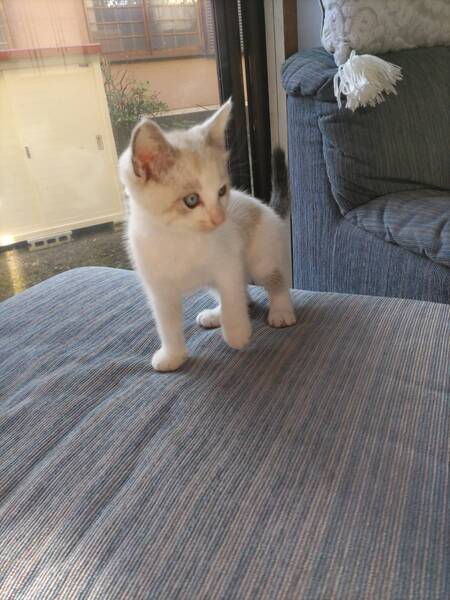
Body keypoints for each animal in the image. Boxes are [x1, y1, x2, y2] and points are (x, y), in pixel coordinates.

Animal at [119, 99, 296, 372]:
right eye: (191, 200)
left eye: (222, 191)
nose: (219, 218)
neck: (178, 237)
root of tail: (266, 208)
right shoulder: (158, 288)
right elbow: (167, 323)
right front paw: (173, 355)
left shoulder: (228, 263)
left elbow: (233, 297)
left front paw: (236, 333)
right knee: (242, 295)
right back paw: (215, 315)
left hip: (261, 256)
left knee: (274, 281)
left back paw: (281, 312)